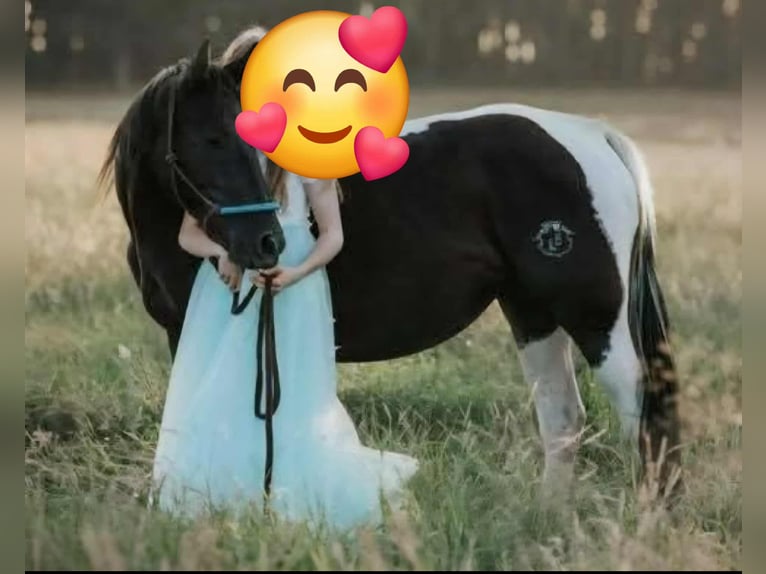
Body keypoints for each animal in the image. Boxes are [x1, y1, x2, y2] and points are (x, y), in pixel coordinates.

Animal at [99, 38, 682, 501]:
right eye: (214, 139)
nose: (266, 243)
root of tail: (591, 134)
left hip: (595, 318)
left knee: (640, 412)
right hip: (533, 315)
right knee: (563, 418)